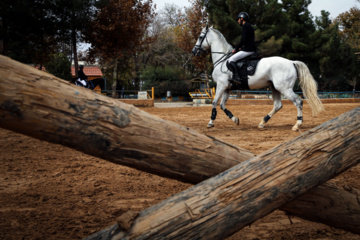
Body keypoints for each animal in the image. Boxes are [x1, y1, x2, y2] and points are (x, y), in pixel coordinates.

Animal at [193, 26, 324, 131]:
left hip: (284, 88)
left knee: (298, 102)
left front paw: (211, 122)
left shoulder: (221, 85)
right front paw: (235, 119)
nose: (194, 51)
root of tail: (291, 62)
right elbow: (222, 105)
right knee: (278, 105)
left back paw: (297, 125)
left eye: (200, 37)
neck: (223, 60)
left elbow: (215, 102)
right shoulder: (228, 88)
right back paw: (262, 123)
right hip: (274, 87)